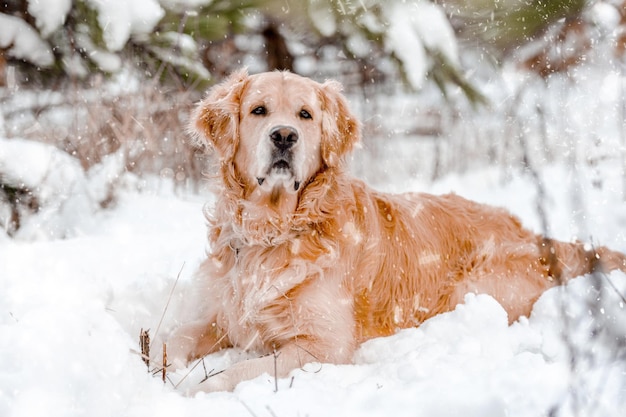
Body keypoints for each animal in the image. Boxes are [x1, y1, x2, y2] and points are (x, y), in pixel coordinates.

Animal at [166, 67, 624, 390]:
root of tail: (530, 231)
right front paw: (159, 367)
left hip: (471, 288)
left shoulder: (323, 345)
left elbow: (234, 373)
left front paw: (189, 388)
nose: (283, 136)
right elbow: (175, 337)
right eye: (258, 110)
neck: (274, 230)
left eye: (305, 115)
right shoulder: (222, 317)